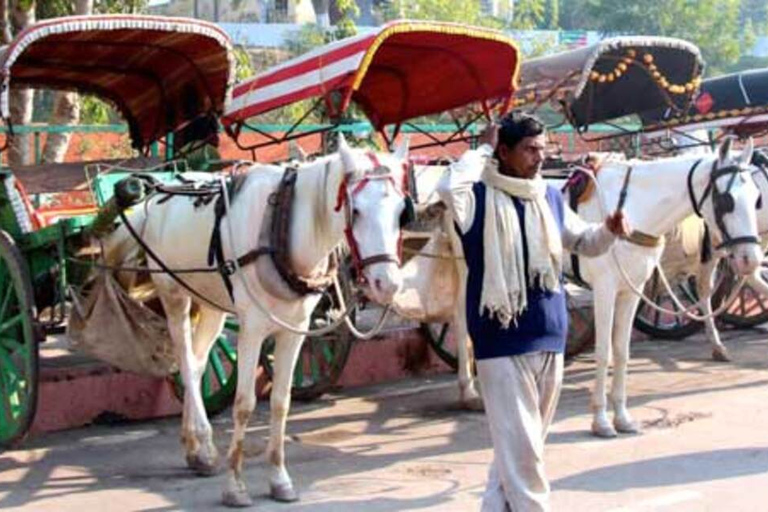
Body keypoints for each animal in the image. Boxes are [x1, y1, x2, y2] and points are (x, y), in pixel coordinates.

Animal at [105, 136, 412, 508]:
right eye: (356, 211)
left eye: (402, 211)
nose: (388, 284)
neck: (284, 223)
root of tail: (156, 194)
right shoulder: (251, 328)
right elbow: (244, 405)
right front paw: (235, 486)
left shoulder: (296, 329)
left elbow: (280, 402)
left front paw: (279, 479)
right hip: (173, 294)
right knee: (185, 363)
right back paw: (203, 441)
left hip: (211, 303)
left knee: (197, 363)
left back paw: (197, 449)